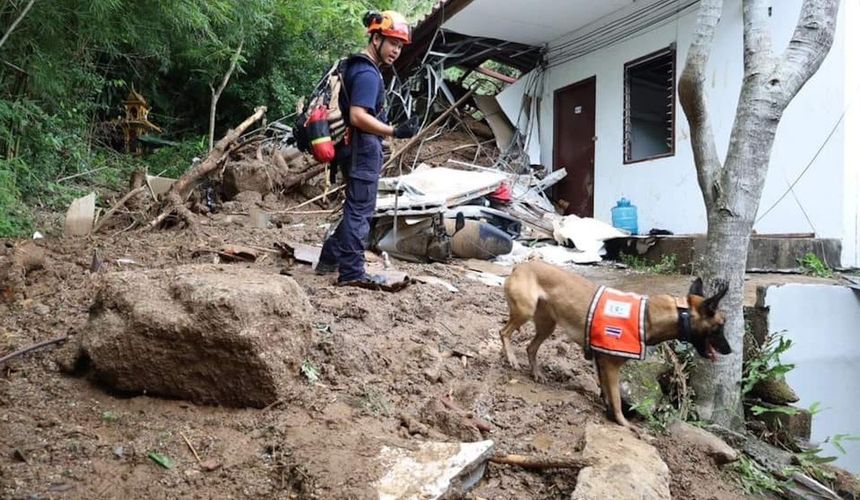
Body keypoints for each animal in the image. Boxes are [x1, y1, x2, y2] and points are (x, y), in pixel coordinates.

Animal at [498, 260, 732, 428]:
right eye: (720, 326)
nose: (730, 350)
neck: (651, 316)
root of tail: (521, 265)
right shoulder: (611, 366)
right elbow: (617, 399)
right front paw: (623, 423)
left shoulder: (601, 363)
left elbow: (607, 395)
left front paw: (608, 412)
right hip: (525, 310)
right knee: (504, 332)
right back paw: (511, 358)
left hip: (547, 324)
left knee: (530, 347)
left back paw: (536, 373)